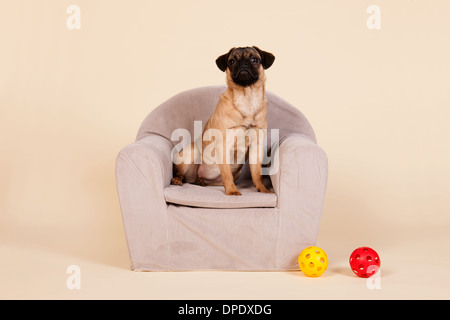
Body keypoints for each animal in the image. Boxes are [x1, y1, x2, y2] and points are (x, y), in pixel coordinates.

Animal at [171, 45, 274, 195]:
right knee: (180, 174)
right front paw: (232, 191)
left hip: (236, 173)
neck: (247, 98)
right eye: (232, 61)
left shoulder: (256, 146)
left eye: (255, 59)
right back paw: (177, 180)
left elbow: (256, 174)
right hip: (191, 152)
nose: (243, 63)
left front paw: (262, 189)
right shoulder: (224, 144)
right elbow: (227, 174)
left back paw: (200, 181)